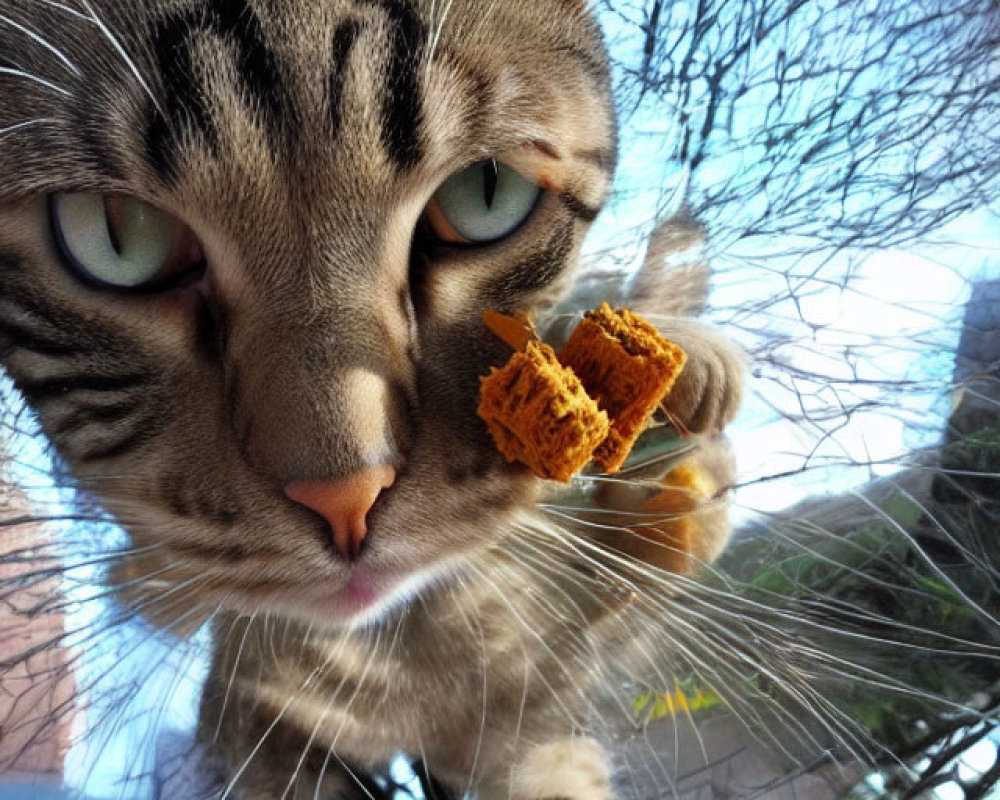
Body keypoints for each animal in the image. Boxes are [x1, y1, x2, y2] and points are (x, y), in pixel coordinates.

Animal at [1, 3, 744, 796]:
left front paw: (686, 381)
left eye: (486, 194)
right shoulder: (257, 719)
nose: (347, 499)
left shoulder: (542, 704)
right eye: (116, 235)